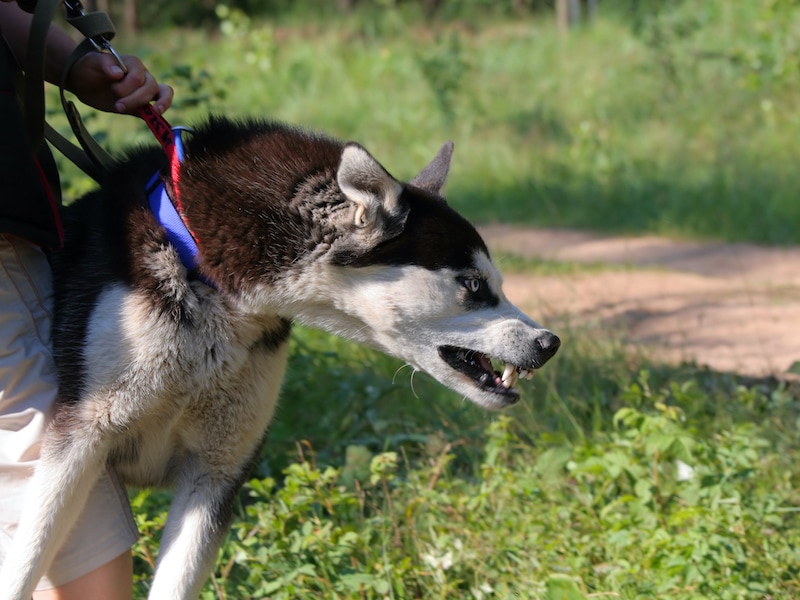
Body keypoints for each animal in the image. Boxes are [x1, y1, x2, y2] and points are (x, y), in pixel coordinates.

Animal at [0, 116, 560, 596]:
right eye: (473, 285)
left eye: (496, 283)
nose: (549, 343)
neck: (212, 283)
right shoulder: (77, 443)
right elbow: (24, 565)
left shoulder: (217, 472)